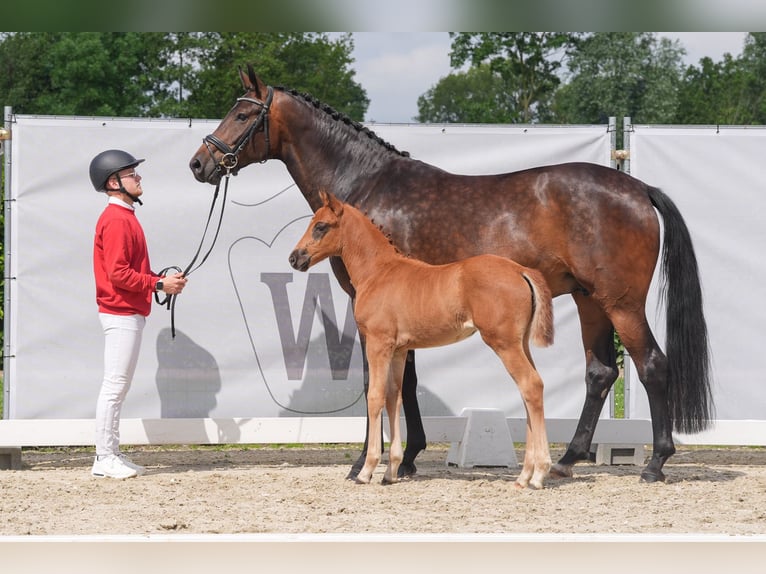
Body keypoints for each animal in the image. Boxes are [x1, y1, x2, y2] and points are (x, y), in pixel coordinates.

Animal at [289, 190, 555, 488]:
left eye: (321, 226)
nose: (295, 258)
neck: (379, 272)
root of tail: (521, 271)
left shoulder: (378, 344)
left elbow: (375, 396)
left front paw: (367, 470)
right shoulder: (398, 350)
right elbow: (394, 397)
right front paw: (391, 472)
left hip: (504, 343)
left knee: (530, 385)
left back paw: (538, 474)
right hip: (520, 344)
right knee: (529, 391)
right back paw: (525, 475)